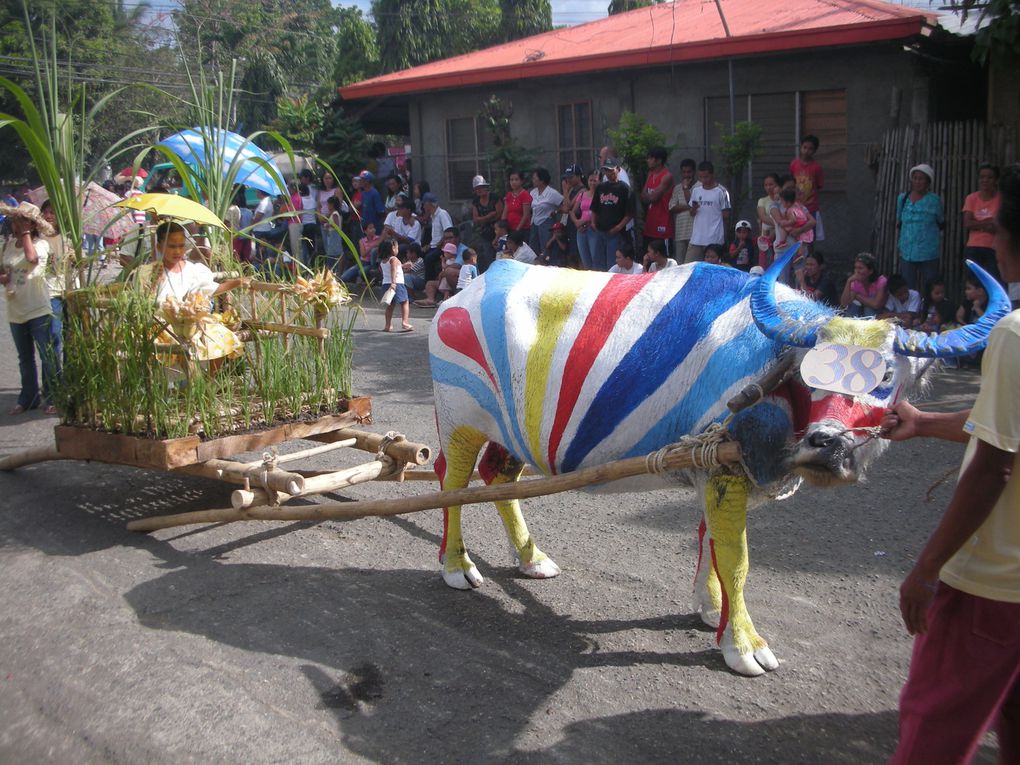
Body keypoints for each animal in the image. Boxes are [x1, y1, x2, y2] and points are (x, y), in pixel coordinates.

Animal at [426, 246, 1007, 677]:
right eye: (811, 372)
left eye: (885, 376)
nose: (826, 445)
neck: (767, 369)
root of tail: (471, 288)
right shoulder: (726, 472)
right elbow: (737, 558)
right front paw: (745, 645)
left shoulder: (714, 472)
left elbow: (710, 542)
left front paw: (711, 611)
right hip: (459, 420)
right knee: (452, 484)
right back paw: (457, 566)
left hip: (509, 433)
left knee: (499, 480)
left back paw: (531, 557)